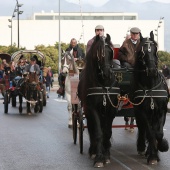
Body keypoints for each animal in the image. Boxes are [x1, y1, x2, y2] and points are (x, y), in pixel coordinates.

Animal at [77, 34, 119, 167]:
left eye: (110, 52)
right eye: (98, 54)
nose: (107, 74)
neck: (103, 83)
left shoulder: (111, 109)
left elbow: (107, 132)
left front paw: (106, 155)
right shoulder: (92, 109)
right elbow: (98, 132)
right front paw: (99, 158)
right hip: (87, 110)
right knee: (92, 129)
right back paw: (93, 151)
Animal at [133, 30, 169, 165]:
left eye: (155, 49)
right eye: (141, 51)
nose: (152, 70)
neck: (151, 86)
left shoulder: (161, 111)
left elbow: (158, 133)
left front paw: (162, 146)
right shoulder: (143, 112)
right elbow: (149, 132)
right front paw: (153, 155)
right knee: (143, 129)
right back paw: (143, 147)